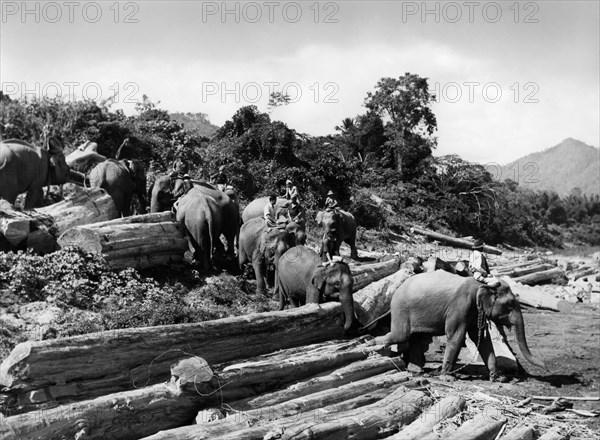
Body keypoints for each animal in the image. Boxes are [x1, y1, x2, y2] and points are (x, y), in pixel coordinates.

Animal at [376, 270, 548, 380]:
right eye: (510, 304)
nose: (546, 367)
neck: (481, 284)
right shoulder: (460, 305)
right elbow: (456, 336)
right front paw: (447, 378)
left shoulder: (475, 310)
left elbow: (483, 339)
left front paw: (499, 378)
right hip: (401, 308)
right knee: (401, 335)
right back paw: (376, 347)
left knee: (418, 339)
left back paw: (416, 371)